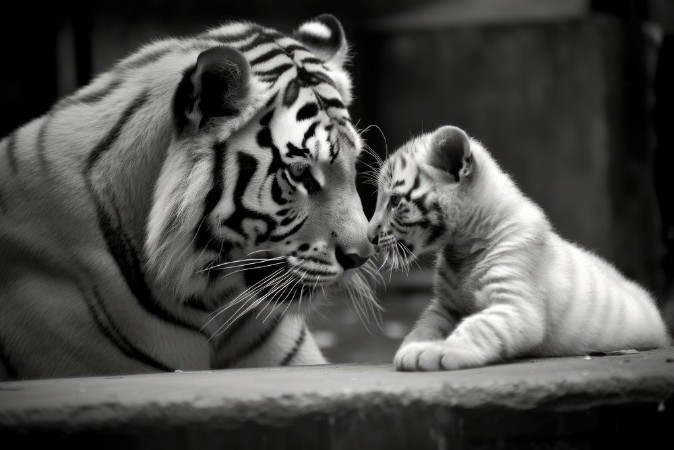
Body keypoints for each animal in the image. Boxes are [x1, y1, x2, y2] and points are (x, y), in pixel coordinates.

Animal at [367, 125, 671, 371]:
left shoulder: (515, 303)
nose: (369, 237)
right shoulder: (444, 305)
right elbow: (424, 325)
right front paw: (412, 346)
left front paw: (436, 351)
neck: (463, 246)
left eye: (394, 201)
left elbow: (477, 326)